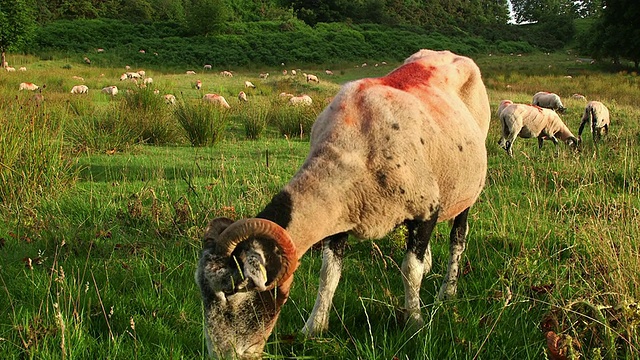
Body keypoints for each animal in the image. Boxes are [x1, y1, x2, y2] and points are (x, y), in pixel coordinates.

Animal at [195, 48, 490, 360]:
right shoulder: (340, 218)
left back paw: (448, 290)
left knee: (458, 238)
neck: (353, 149)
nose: (221, 356)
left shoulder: (426, 211)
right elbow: (328, 274)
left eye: (231, 290)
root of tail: (446, 52)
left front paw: (415, 323)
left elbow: (410, 270)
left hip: (467, 191)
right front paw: (314, 327)